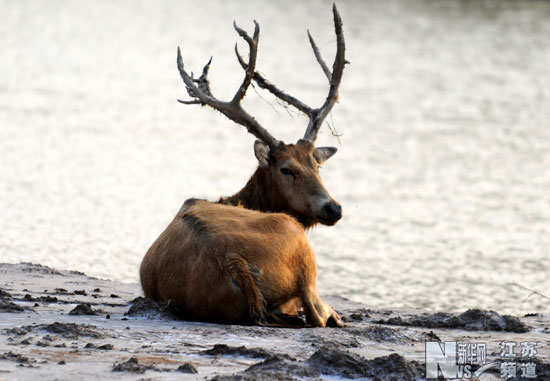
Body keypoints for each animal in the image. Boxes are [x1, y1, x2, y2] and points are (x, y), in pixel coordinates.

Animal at [140, 3, 348, 326]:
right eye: (286, 169)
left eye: (317, 165)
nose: (333, 208)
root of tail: (233, 262)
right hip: (301, 251)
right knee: (319, 313)